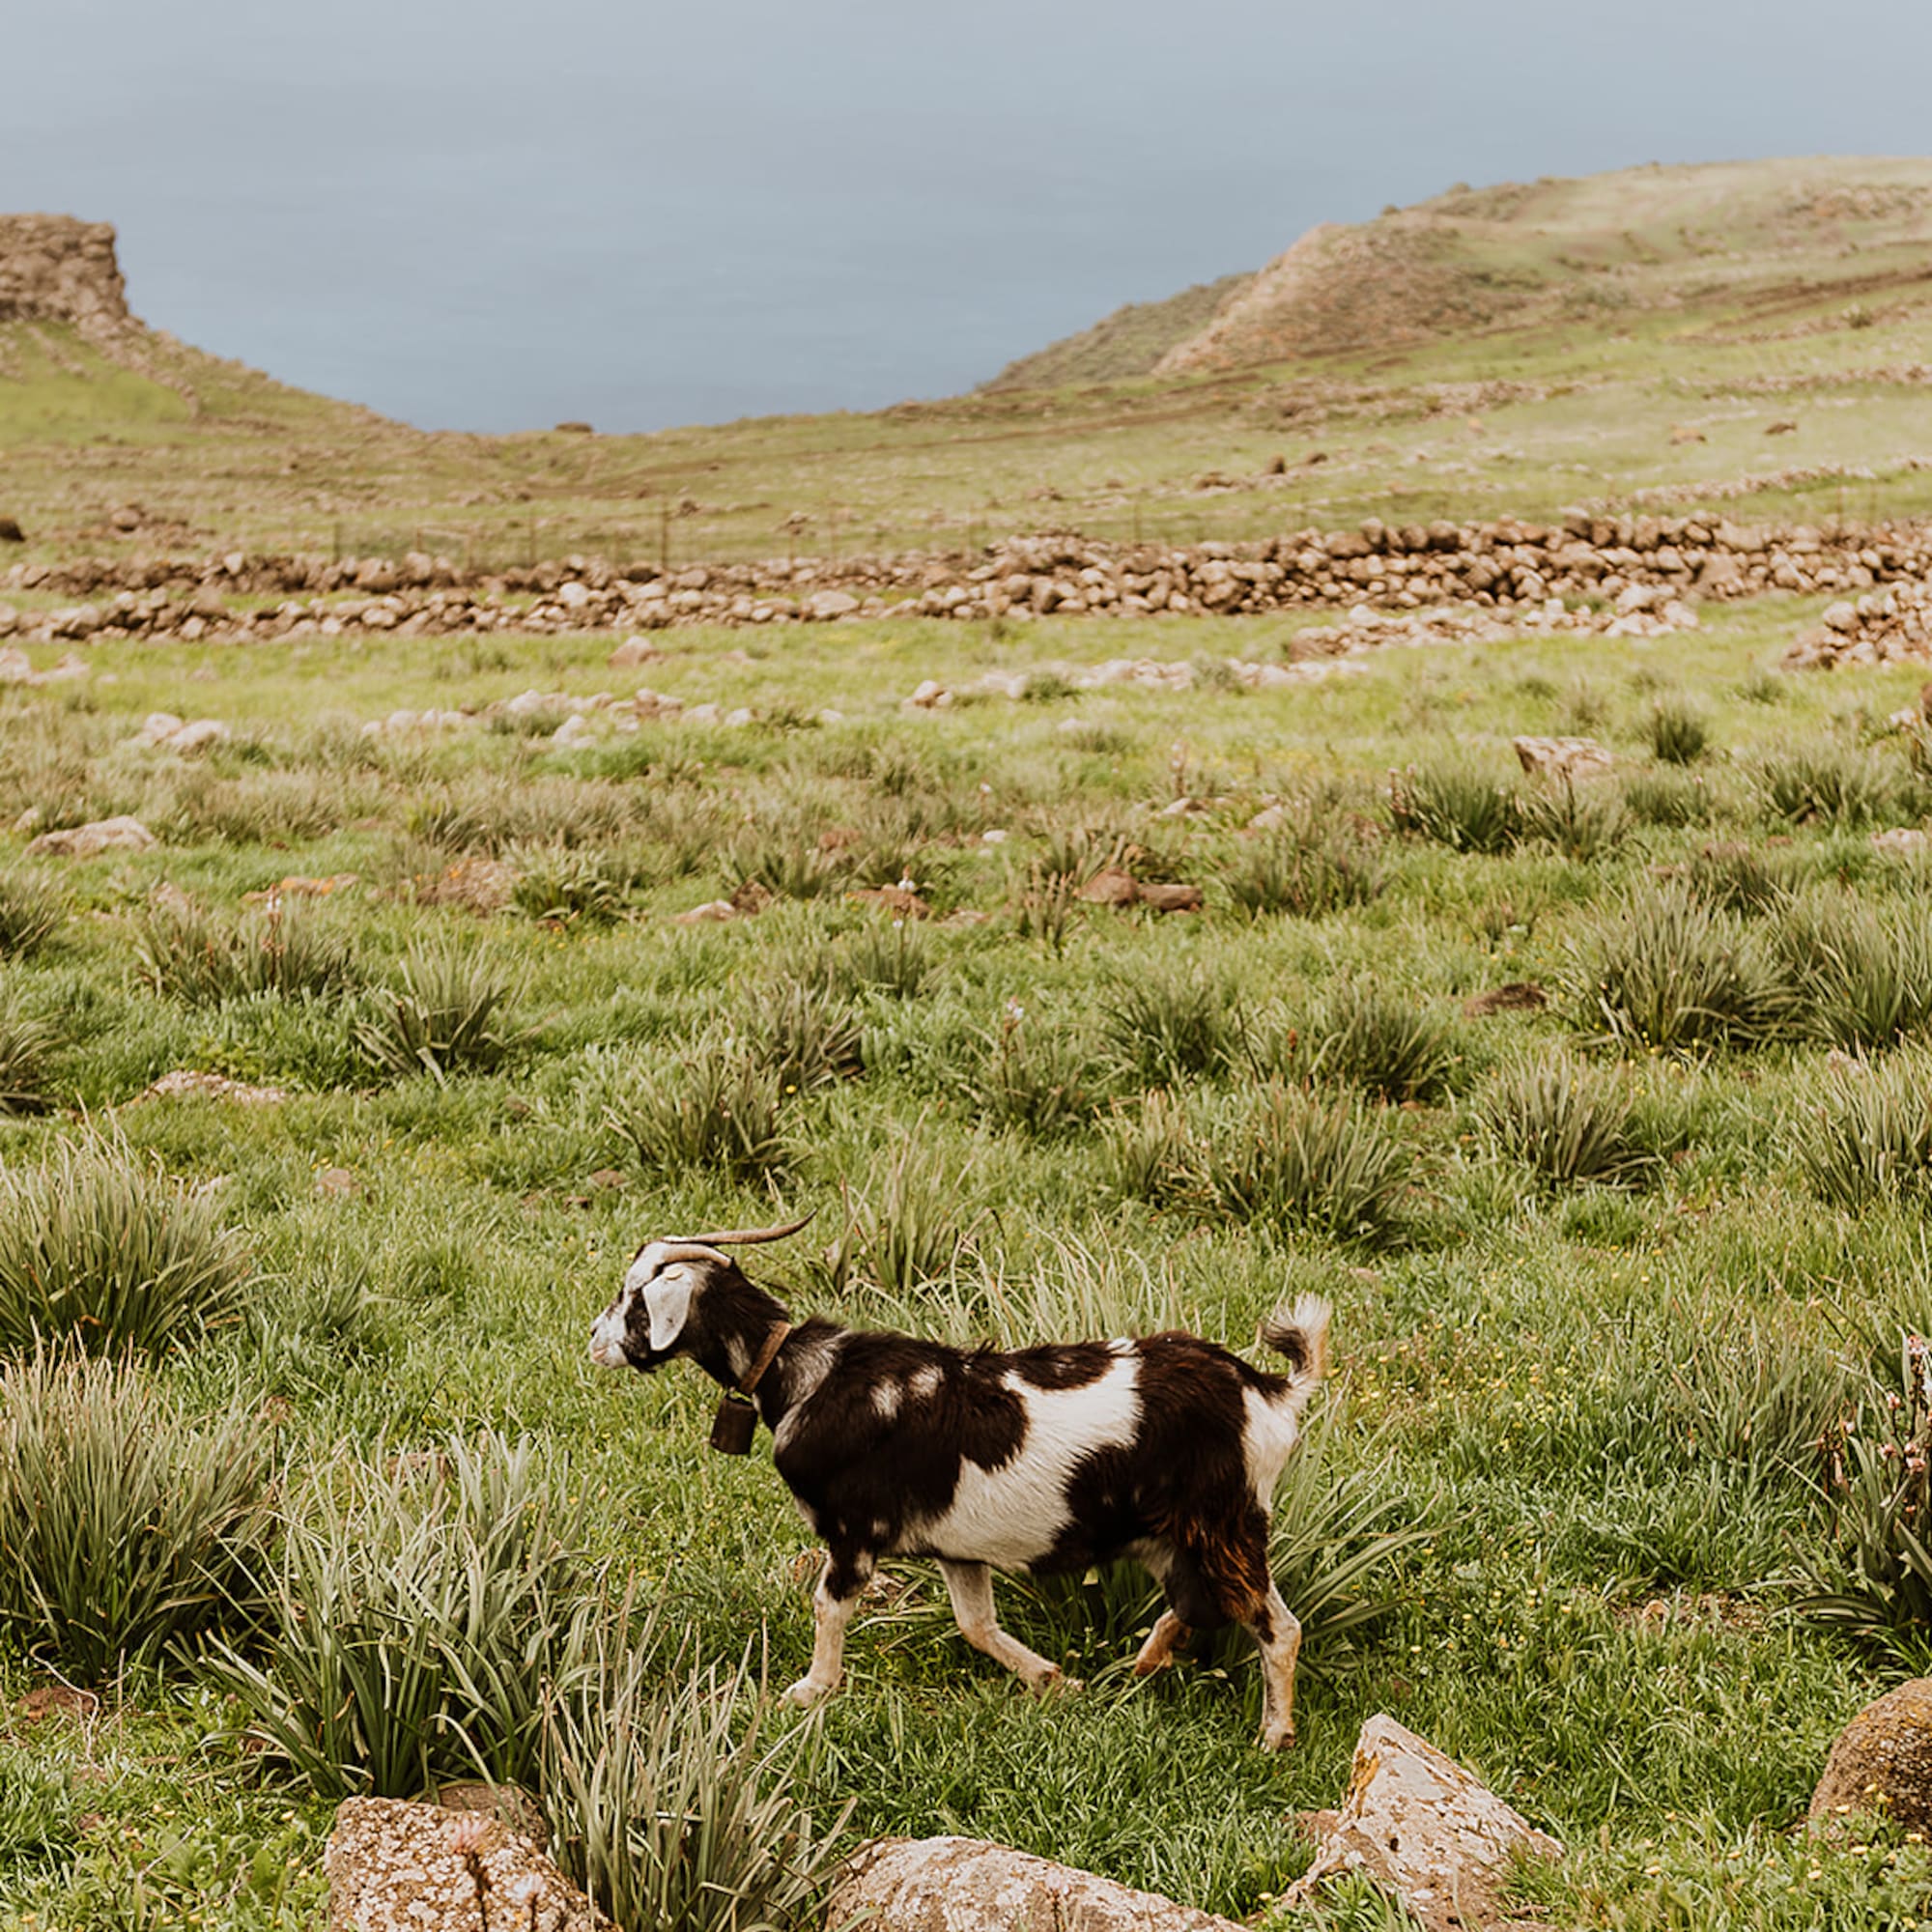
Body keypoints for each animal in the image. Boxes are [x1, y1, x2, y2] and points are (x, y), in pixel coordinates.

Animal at [587, 1219, 1330, 1748]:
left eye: (634, 1299)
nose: (593, 1339)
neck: (802, 1377)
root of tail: (1271, 1391)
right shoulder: (957, 1548)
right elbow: (976, 1625)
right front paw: (1055, 1681)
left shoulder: (852, 1533)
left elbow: (829, 1607)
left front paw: (809, 1691)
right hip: (1171, 1533)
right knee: (1199, 1603)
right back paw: (1142, 1665)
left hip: (1225, 1521)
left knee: (1276, 1625)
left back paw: (1274, 1736)